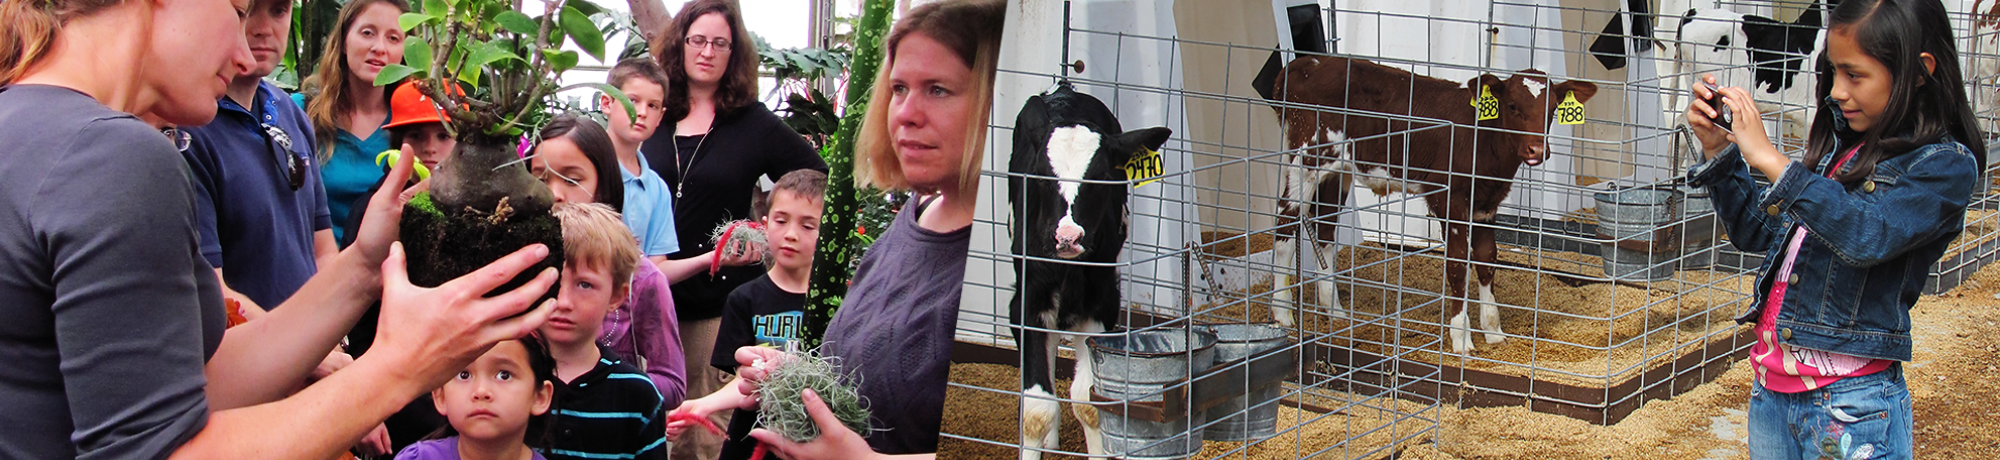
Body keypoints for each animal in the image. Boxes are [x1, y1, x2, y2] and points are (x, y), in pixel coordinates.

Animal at [1000, 83, 1168, 460]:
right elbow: (1036, 408)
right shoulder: (1027, 301)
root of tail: (1065, 91)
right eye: (1041, 175)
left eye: (1102, 178)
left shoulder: (1103, 302)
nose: (1067, 237)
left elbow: (1090, 401)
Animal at [1272, 56, 1600, 352]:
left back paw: (1335, 311)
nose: (1536, 150)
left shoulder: (1486, 204)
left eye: (1552, 110)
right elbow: (1457, 264)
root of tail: (1301, 64)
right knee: (1285, 224)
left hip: (1338, 170)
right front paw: (1462, 338)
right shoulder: (1448, 199)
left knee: (1326, 230)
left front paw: (1493, 331)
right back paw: (1281, 313)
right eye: (1512, 106)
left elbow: (1487, 260)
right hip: (1305, 158)